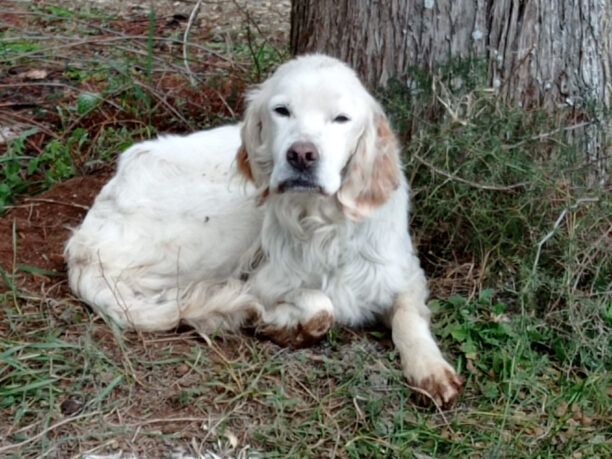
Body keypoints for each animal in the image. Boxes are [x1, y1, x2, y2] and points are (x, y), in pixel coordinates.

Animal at [64, 55, 462, 408]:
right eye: (282, 110)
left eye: (341, 118)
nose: (301, 155)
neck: (321, 228)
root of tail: (83, 239)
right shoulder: (265, 281)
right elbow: (320, 306)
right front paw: (279, 322)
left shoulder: (403, 273)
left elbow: (409, 317)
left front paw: (430, 368)